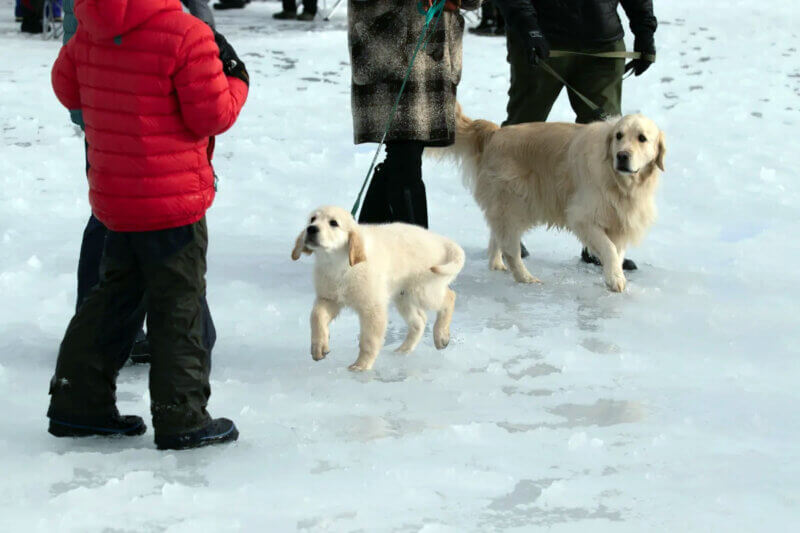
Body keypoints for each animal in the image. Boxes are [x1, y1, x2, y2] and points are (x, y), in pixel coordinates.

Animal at [290, 207, 466, 370]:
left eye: (333, 223)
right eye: (312, 219)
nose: (311, 229)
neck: (338, 265)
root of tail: (441, 240)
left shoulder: (372, 307)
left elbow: (369, 340)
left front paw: (361, 366)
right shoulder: (329, 299)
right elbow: (316, 316)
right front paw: (319, 347)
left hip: (423, 289)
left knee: (449, 297)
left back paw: (441, 335)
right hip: (404, 296)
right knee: (419, 321)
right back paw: (403, 350)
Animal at [440, 103, 664, 290]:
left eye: (642, 138)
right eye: (618, 135)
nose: (622, 156)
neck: (619, 181)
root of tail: (494, 133)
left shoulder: (622, 219)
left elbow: (617, 251)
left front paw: (614, 273)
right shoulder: (582, 217)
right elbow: (608, 247)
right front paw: (615, 279)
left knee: (498, 237)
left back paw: (496, 265)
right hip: (515, 203)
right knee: (511, 248)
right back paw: (526, 278)